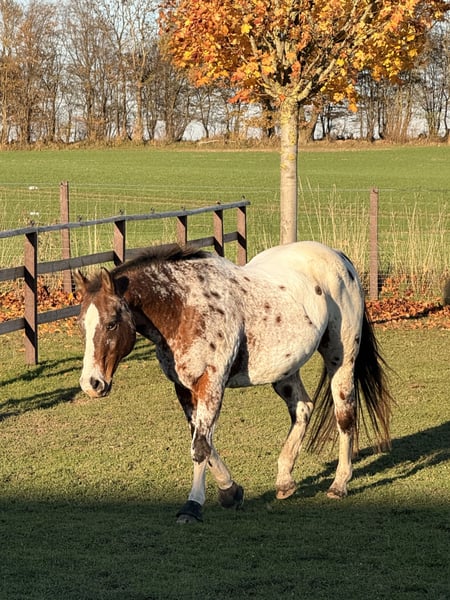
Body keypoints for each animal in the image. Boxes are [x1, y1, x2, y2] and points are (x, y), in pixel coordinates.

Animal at [74, 241, 392, 523]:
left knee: (345, 416)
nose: (92, 383)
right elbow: (203, 442)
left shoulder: (212, 383)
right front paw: (231, 491)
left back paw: (339, 484)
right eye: (81, 325)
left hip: (341, 359)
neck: (183, 307)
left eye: (112, 323)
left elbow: (200, 446)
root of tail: (339, 258)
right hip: (285, 369)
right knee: (302, 409)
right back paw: (285, 481)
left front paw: (192, 506)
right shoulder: (185, 389)